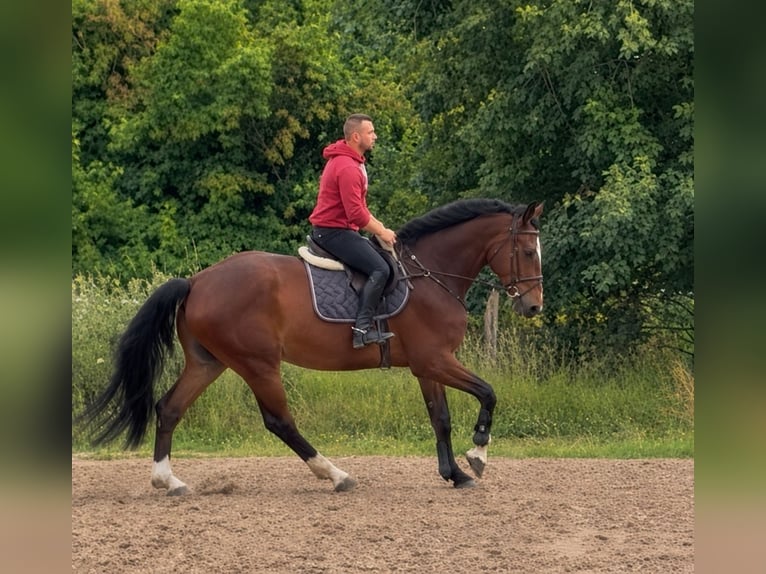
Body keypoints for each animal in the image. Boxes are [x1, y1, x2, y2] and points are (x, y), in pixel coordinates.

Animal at [80, 198, 543, 494]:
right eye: (525, 250)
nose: (534, 306)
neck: (430, 275)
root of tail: (196, 281)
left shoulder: (427, 365)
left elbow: (440, 418)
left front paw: (455, 474)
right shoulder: (436, 359)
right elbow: (487, 393)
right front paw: (478, 453)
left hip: (208, 362)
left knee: (170, 408)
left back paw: (168, 480)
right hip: (258, 363)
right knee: (279, 421)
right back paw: (335, 475)